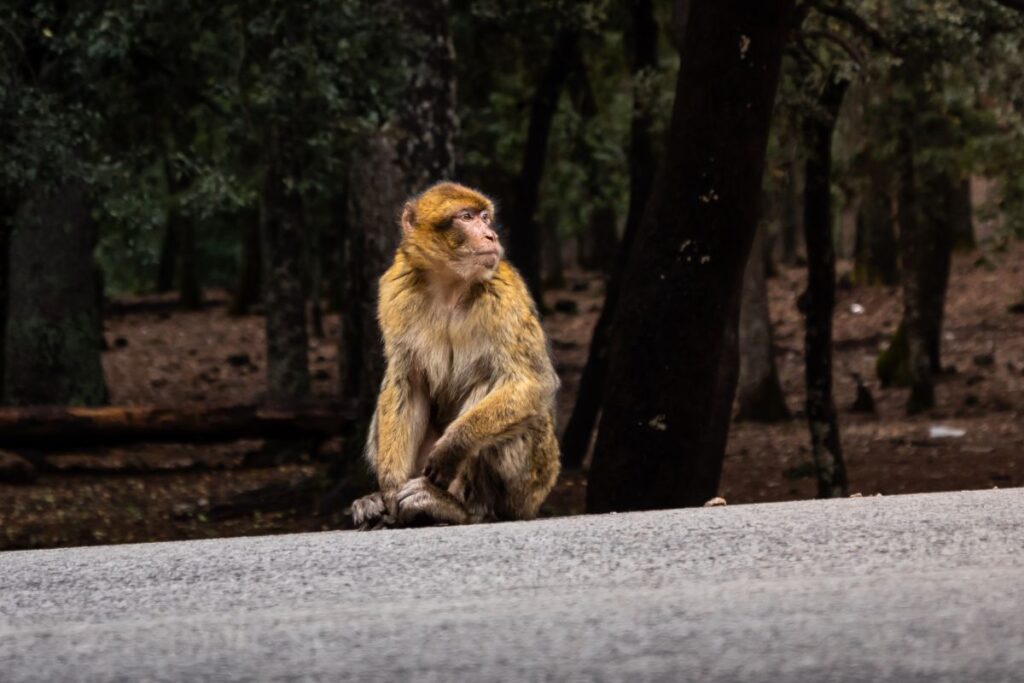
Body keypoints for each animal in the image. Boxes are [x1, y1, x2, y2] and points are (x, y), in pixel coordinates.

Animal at [350, 180, 561, 528]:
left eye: (485, 218)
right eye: (466, 217)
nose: (491, 236)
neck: (450, 283)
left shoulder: (505, 291)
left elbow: (534, 381)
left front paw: (454, 446)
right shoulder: (394, 289)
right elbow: (407, 383)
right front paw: (388, 490)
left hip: (530, 486)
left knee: (496, 386)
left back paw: (457, 508)